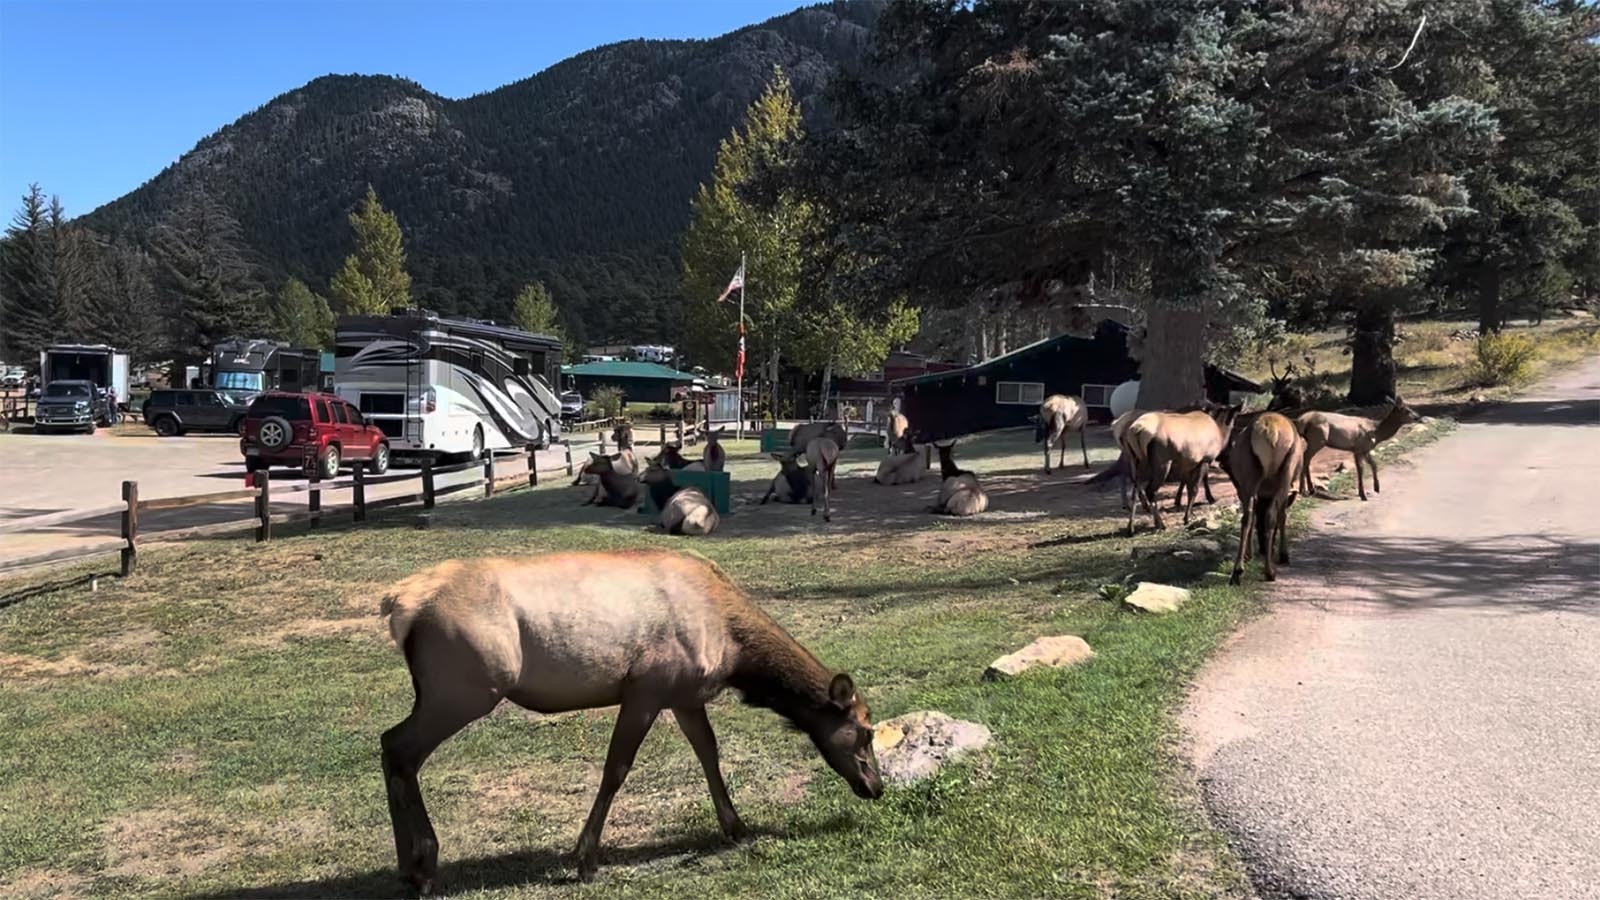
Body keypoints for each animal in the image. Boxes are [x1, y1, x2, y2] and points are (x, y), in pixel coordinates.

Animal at [1120, 400, 1241, 531]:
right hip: (1162, 462)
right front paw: (1187, 517)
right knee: (1150, 491)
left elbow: (1188, 488)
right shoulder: (1205, 460)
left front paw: (1190, 513)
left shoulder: (1189, 463)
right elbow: (1195, 489)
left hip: (1136, 460)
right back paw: (1160, 524)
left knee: (1135, 490)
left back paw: (1131, 527)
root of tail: (1136, 430)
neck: (1220, 431)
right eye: (1234, 419)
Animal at [1216, 408, 1305, 582]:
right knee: (1272, 515)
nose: (1264, 549)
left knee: (1247, 517)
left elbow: (1255, 516)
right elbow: (1282, 515)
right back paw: (1269, 571)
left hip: (1250, 476)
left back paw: (1237, 571)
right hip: (1285, 474)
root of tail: (1271, 431)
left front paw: (1248, 555)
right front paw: (1283, 555)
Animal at [1292, 397, 1420, 499]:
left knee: (1306, 459)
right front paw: (1363, 494)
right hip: (1317, 439)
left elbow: (1373, 465)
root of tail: (1300, 421)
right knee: (1305, 458)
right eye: (1407, 410)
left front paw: (1376, 488)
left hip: (1315, 440)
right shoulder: (1359, 448)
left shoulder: (1364, 449)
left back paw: (1309, 489)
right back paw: (1304, 490)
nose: (1418, 417)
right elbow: (1361, 469)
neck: (1376, 433)